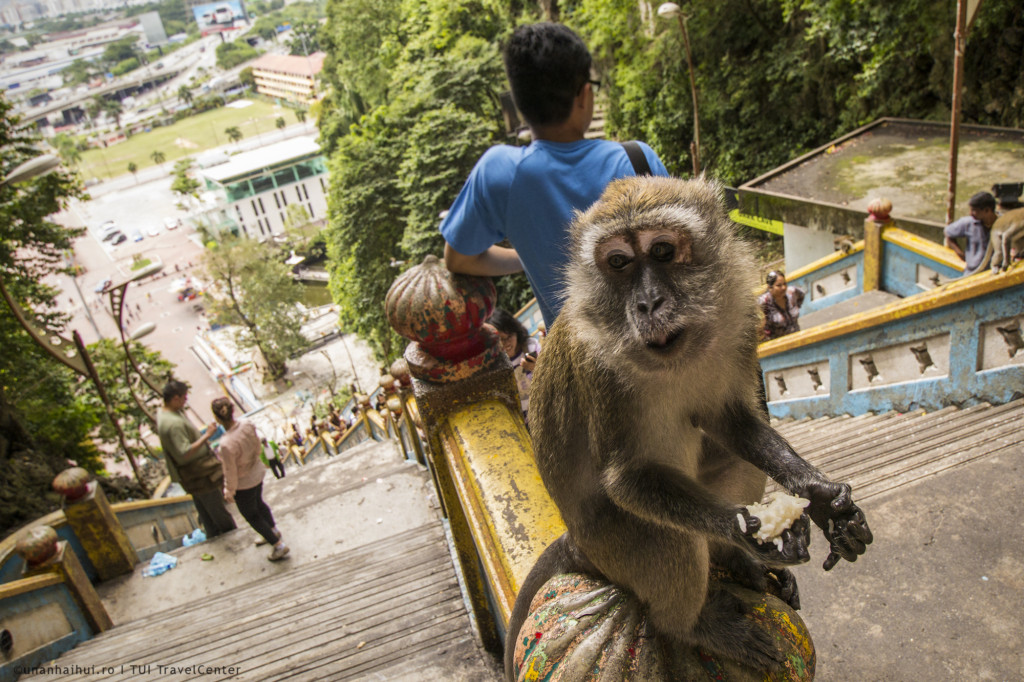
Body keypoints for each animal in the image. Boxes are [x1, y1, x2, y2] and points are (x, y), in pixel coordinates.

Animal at [503, 175, 872, 675]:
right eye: (618, 262)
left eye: (661, 251)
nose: (647, 302)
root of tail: (579, 545)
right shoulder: (597, 364)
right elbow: (627, 478)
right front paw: (741, 529)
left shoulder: (741, 320)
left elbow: (731, 421)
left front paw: (821, 498)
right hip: (612, 548)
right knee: (666, 537)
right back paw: (695, 624)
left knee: (737, 463)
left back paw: (737, 562)